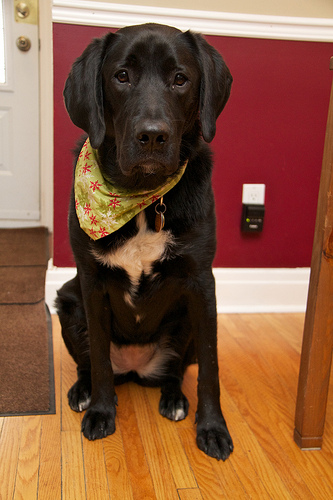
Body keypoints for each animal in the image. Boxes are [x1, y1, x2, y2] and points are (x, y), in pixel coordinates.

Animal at [56, 23, 233, 460]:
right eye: (122, 76)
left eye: (181, 79)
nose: (152, 136)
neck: (140, 197)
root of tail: (136, 367)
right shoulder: (90, 283)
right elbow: (100, 359)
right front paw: (101, 412)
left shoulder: (202, 284)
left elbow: (210, 368)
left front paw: (213, 428)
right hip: (67, 302)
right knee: (91, 363)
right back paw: (82, 391)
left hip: (187, 320)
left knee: (176, 372)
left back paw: (173, 397)